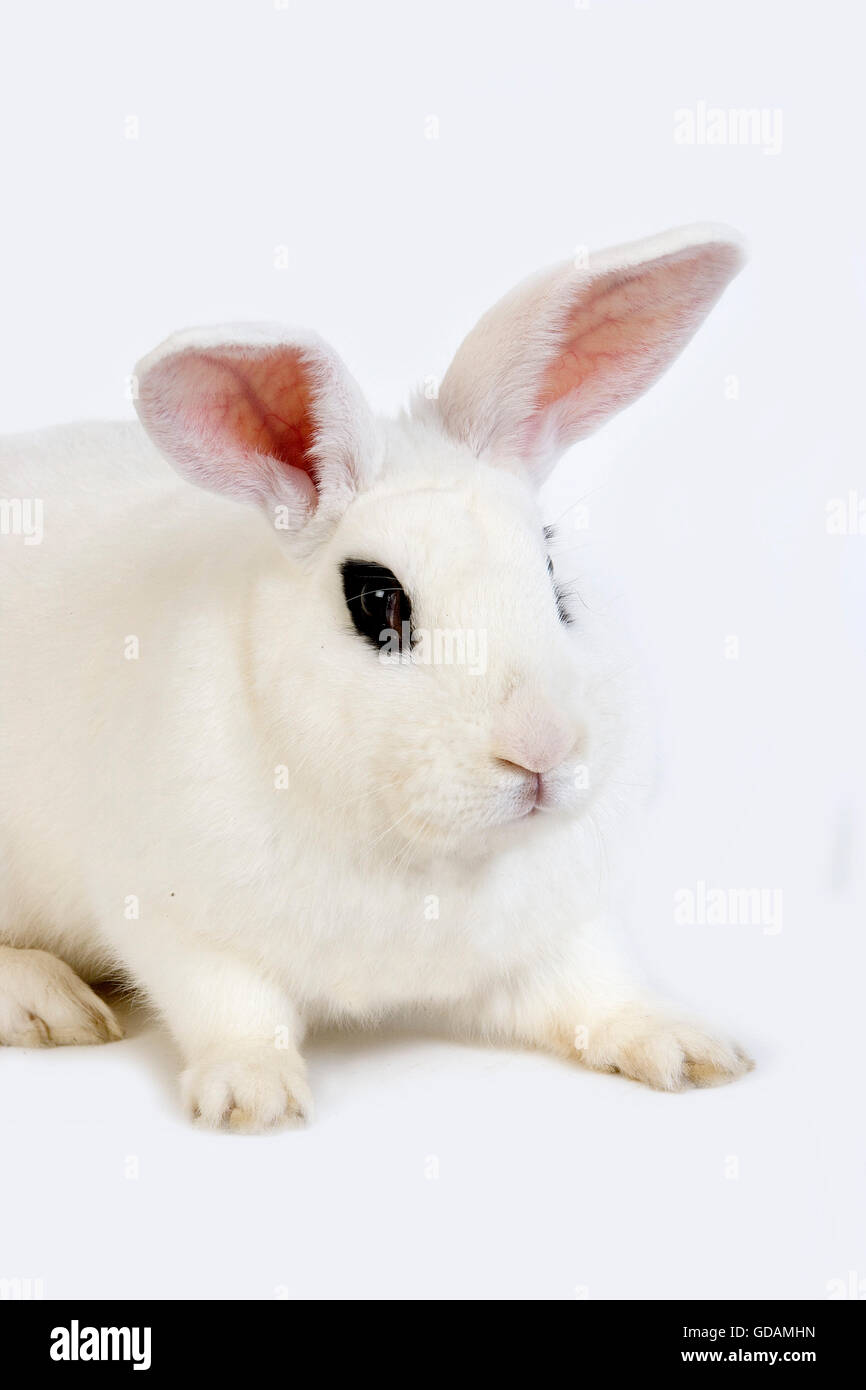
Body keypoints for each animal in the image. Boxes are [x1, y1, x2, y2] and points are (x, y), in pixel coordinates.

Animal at [0, 219, 750, 1128]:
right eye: (376, 600)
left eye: (551, 575)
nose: (542, 747)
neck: (426, 858)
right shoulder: (176, 923)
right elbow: (232, 1007)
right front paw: (253, 1096)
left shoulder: (553, 937)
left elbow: (596, 988)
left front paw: (686, 1049)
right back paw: (48, 1006)